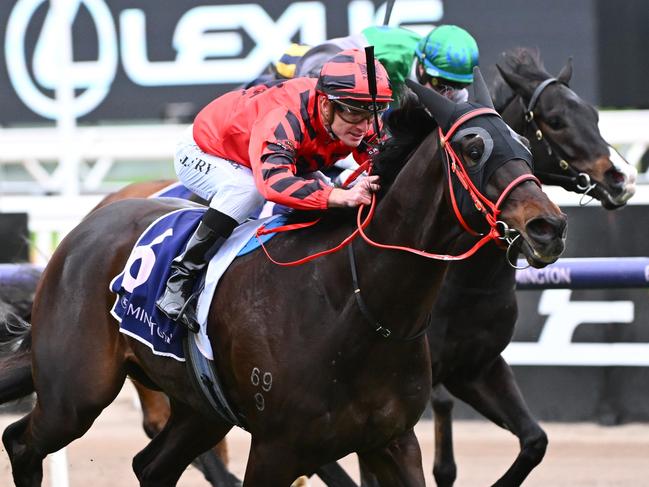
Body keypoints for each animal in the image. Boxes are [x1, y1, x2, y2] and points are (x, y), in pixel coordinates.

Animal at [1, 74, 568, 486]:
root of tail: (81, 231)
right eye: (472, 148)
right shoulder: (278, 448)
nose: (549, 226)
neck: (358, 305)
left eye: (524, 140)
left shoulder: (393, 440)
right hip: (76, 393)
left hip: (201, 408)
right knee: (22, 443)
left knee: (150, 465)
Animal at [428, 45, 636, 487]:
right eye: (554, 121)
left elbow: (535, 440)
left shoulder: (476, 368)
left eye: (594, 114)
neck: (464, 283)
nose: (624, 178)